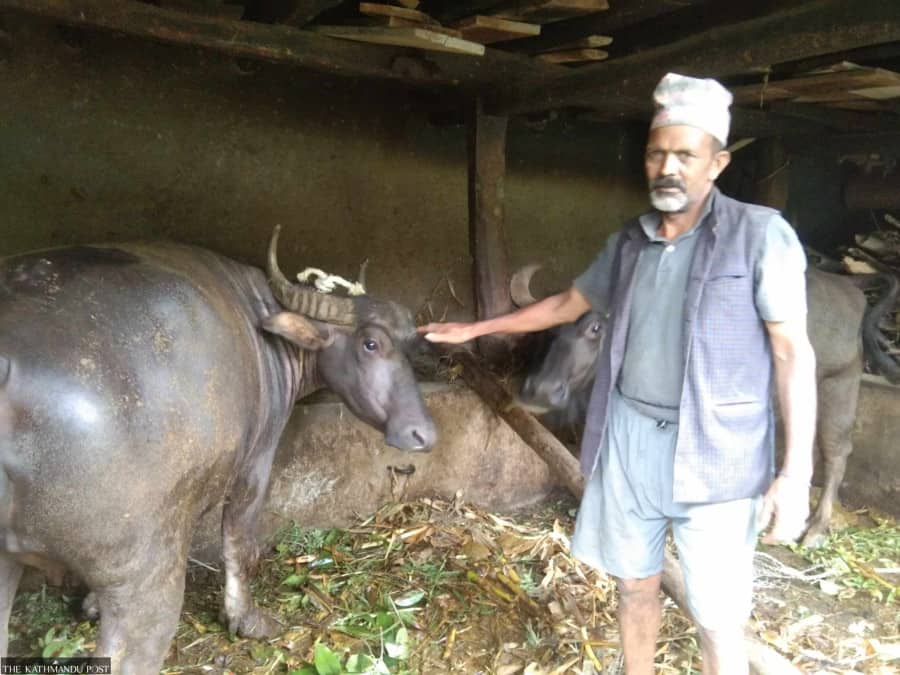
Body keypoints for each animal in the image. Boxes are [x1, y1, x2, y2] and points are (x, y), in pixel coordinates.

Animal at [0, 230, 436, 672]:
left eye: (411, 347)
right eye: (370, 343)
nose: (424, 434)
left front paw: (89, 603)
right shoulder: (255, 465)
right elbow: (238, 540)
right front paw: (247, 619)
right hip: (142, 576)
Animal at [512, 266, 900, 548]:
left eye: (595, 328)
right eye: (545, 331)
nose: (539, 391)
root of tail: (848, 286)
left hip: (839, 385)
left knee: (836, 453)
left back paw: (816, 529)